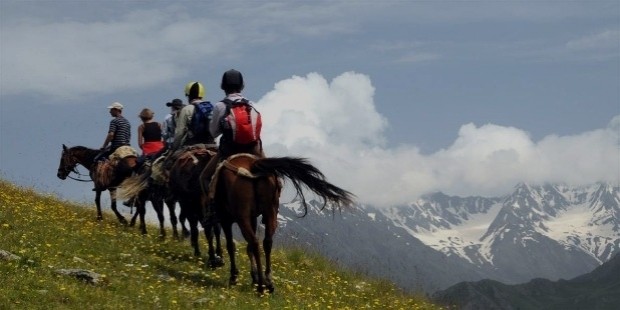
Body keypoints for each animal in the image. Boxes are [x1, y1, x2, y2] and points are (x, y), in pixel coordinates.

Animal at [205, 154, 354, 294]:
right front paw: (253, 278)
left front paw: (234, 277)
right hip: (270, 212)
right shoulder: (250, 218)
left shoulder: (226, 220)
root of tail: (253, 165)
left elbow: (231, 246)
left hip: (243, 216)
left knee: (255, 242)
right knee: (266, 242)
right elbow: (247, 248)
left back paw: (261, 287)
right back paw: (268, 282)